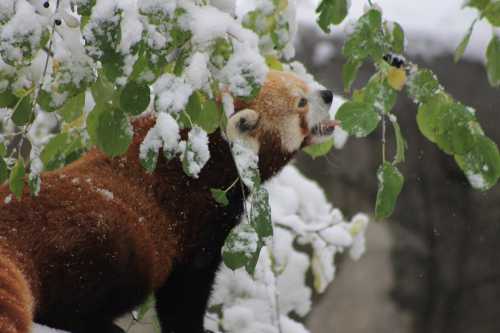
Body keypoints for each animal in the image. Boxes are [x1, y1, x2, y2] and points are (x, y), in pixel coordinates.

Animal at [0, 70, 336, 332]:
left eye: (303, 82)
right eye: (301, 103)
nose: (329, 94)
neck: (212, 158)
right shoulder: (194, 217)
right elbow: (185, 292)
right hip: (107, 241)